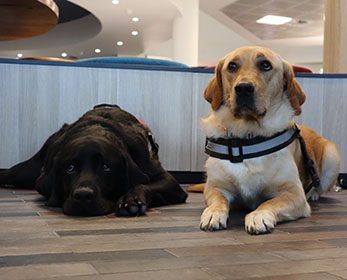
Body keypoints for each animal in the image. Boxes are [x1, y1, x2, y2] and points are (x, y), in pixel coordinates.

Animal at [0, 105, 188, 217]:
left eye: (106, 167)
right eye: (70, 168)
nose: (83, 195)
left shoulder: (167, 180)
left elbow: (144, 184)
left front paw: (131, 199)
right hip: (26, 170)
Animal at [200, 46, 342, 234]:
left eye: (266, 65)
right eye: (232, 66)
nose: (243, 88)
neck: (248, 137)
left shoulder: (294, 193)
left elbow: (270, 202)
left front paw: (258, 215)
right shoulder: (215, 187)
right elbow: (218, 200)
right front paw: (213, 213)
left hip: (331, 156)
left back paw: (313, 193)